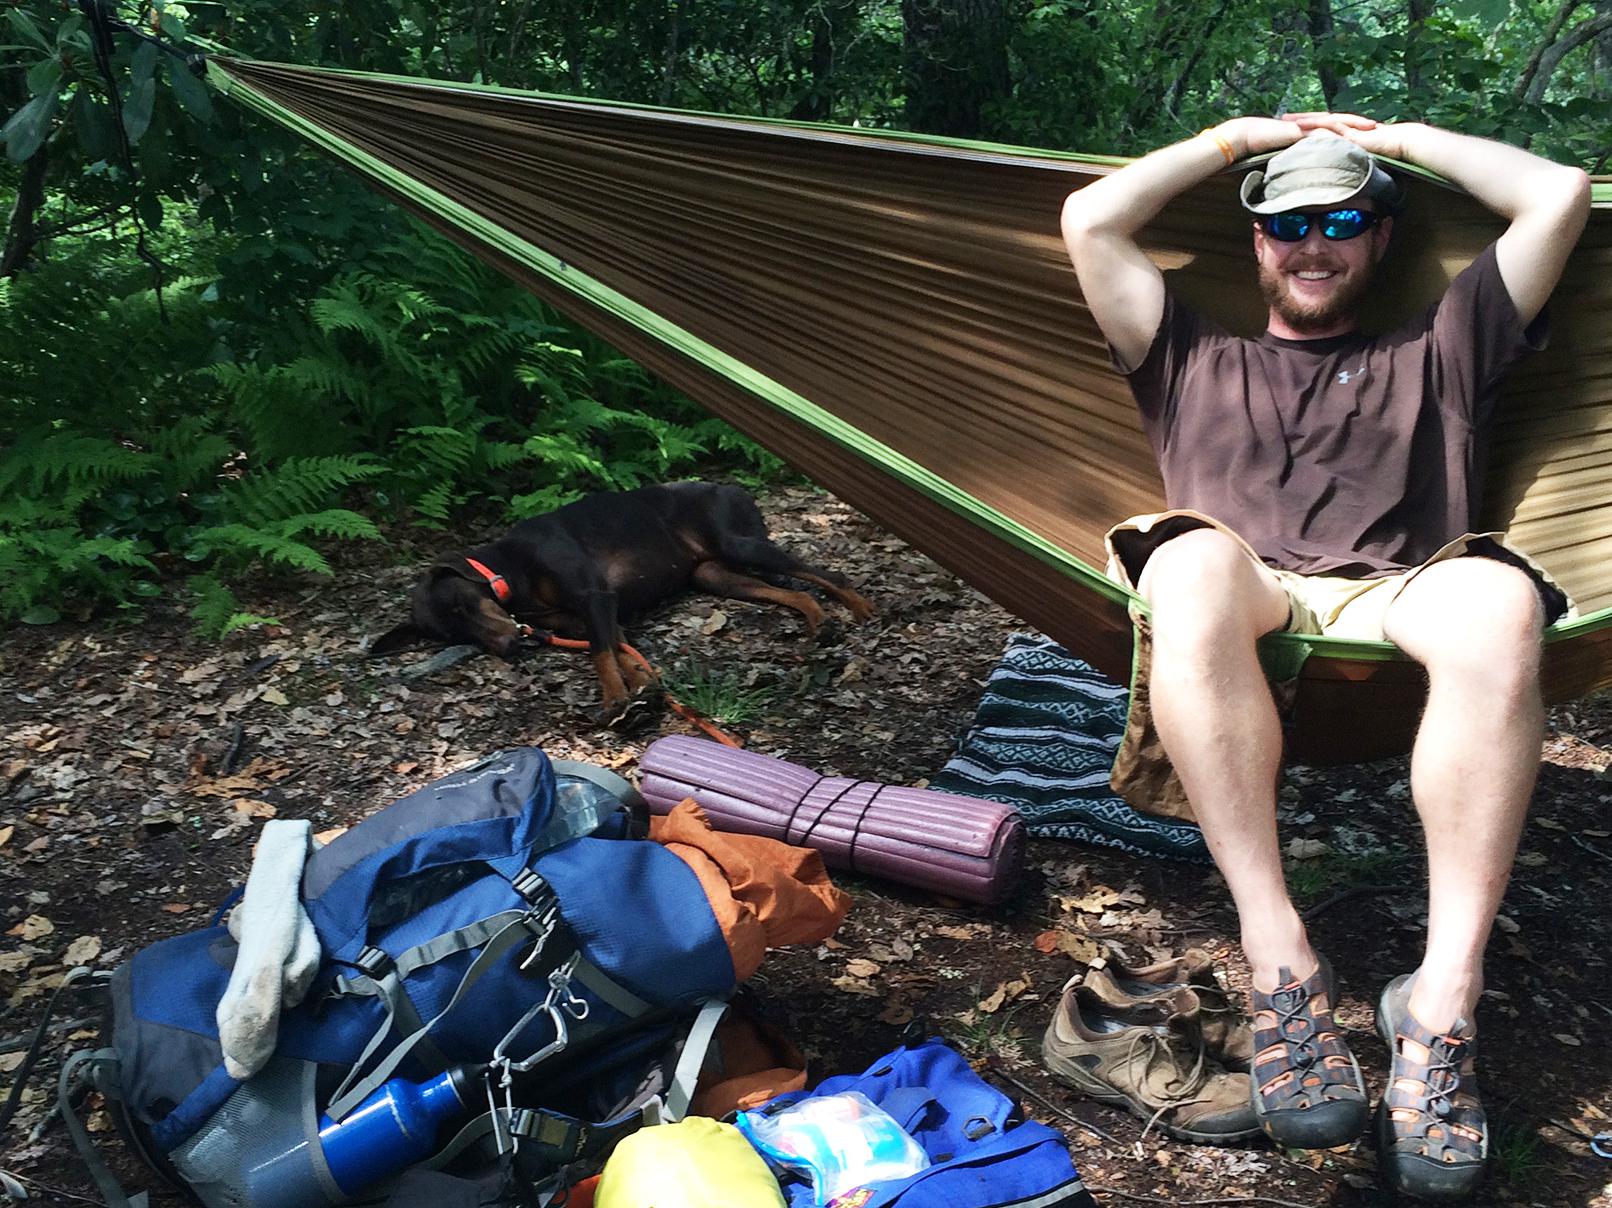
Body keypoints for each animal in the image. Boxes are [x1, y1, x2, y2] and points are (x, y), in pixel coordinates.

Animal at [370, 480, 876, 703]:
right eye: (454, 637)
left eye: (462, 604)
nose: (510, 648)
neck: (511, 570)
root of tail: (732, 485)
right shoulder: (584, 617)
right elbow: (615, 646)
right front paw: (639, 685)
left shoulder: (596, 597)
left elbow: (599, 652)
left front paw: (614, 698)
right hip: (714, 575)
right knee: (792, 592)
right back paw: (819, 621)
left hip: (740, 543)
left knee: (826, 575)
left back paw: (859, 607)